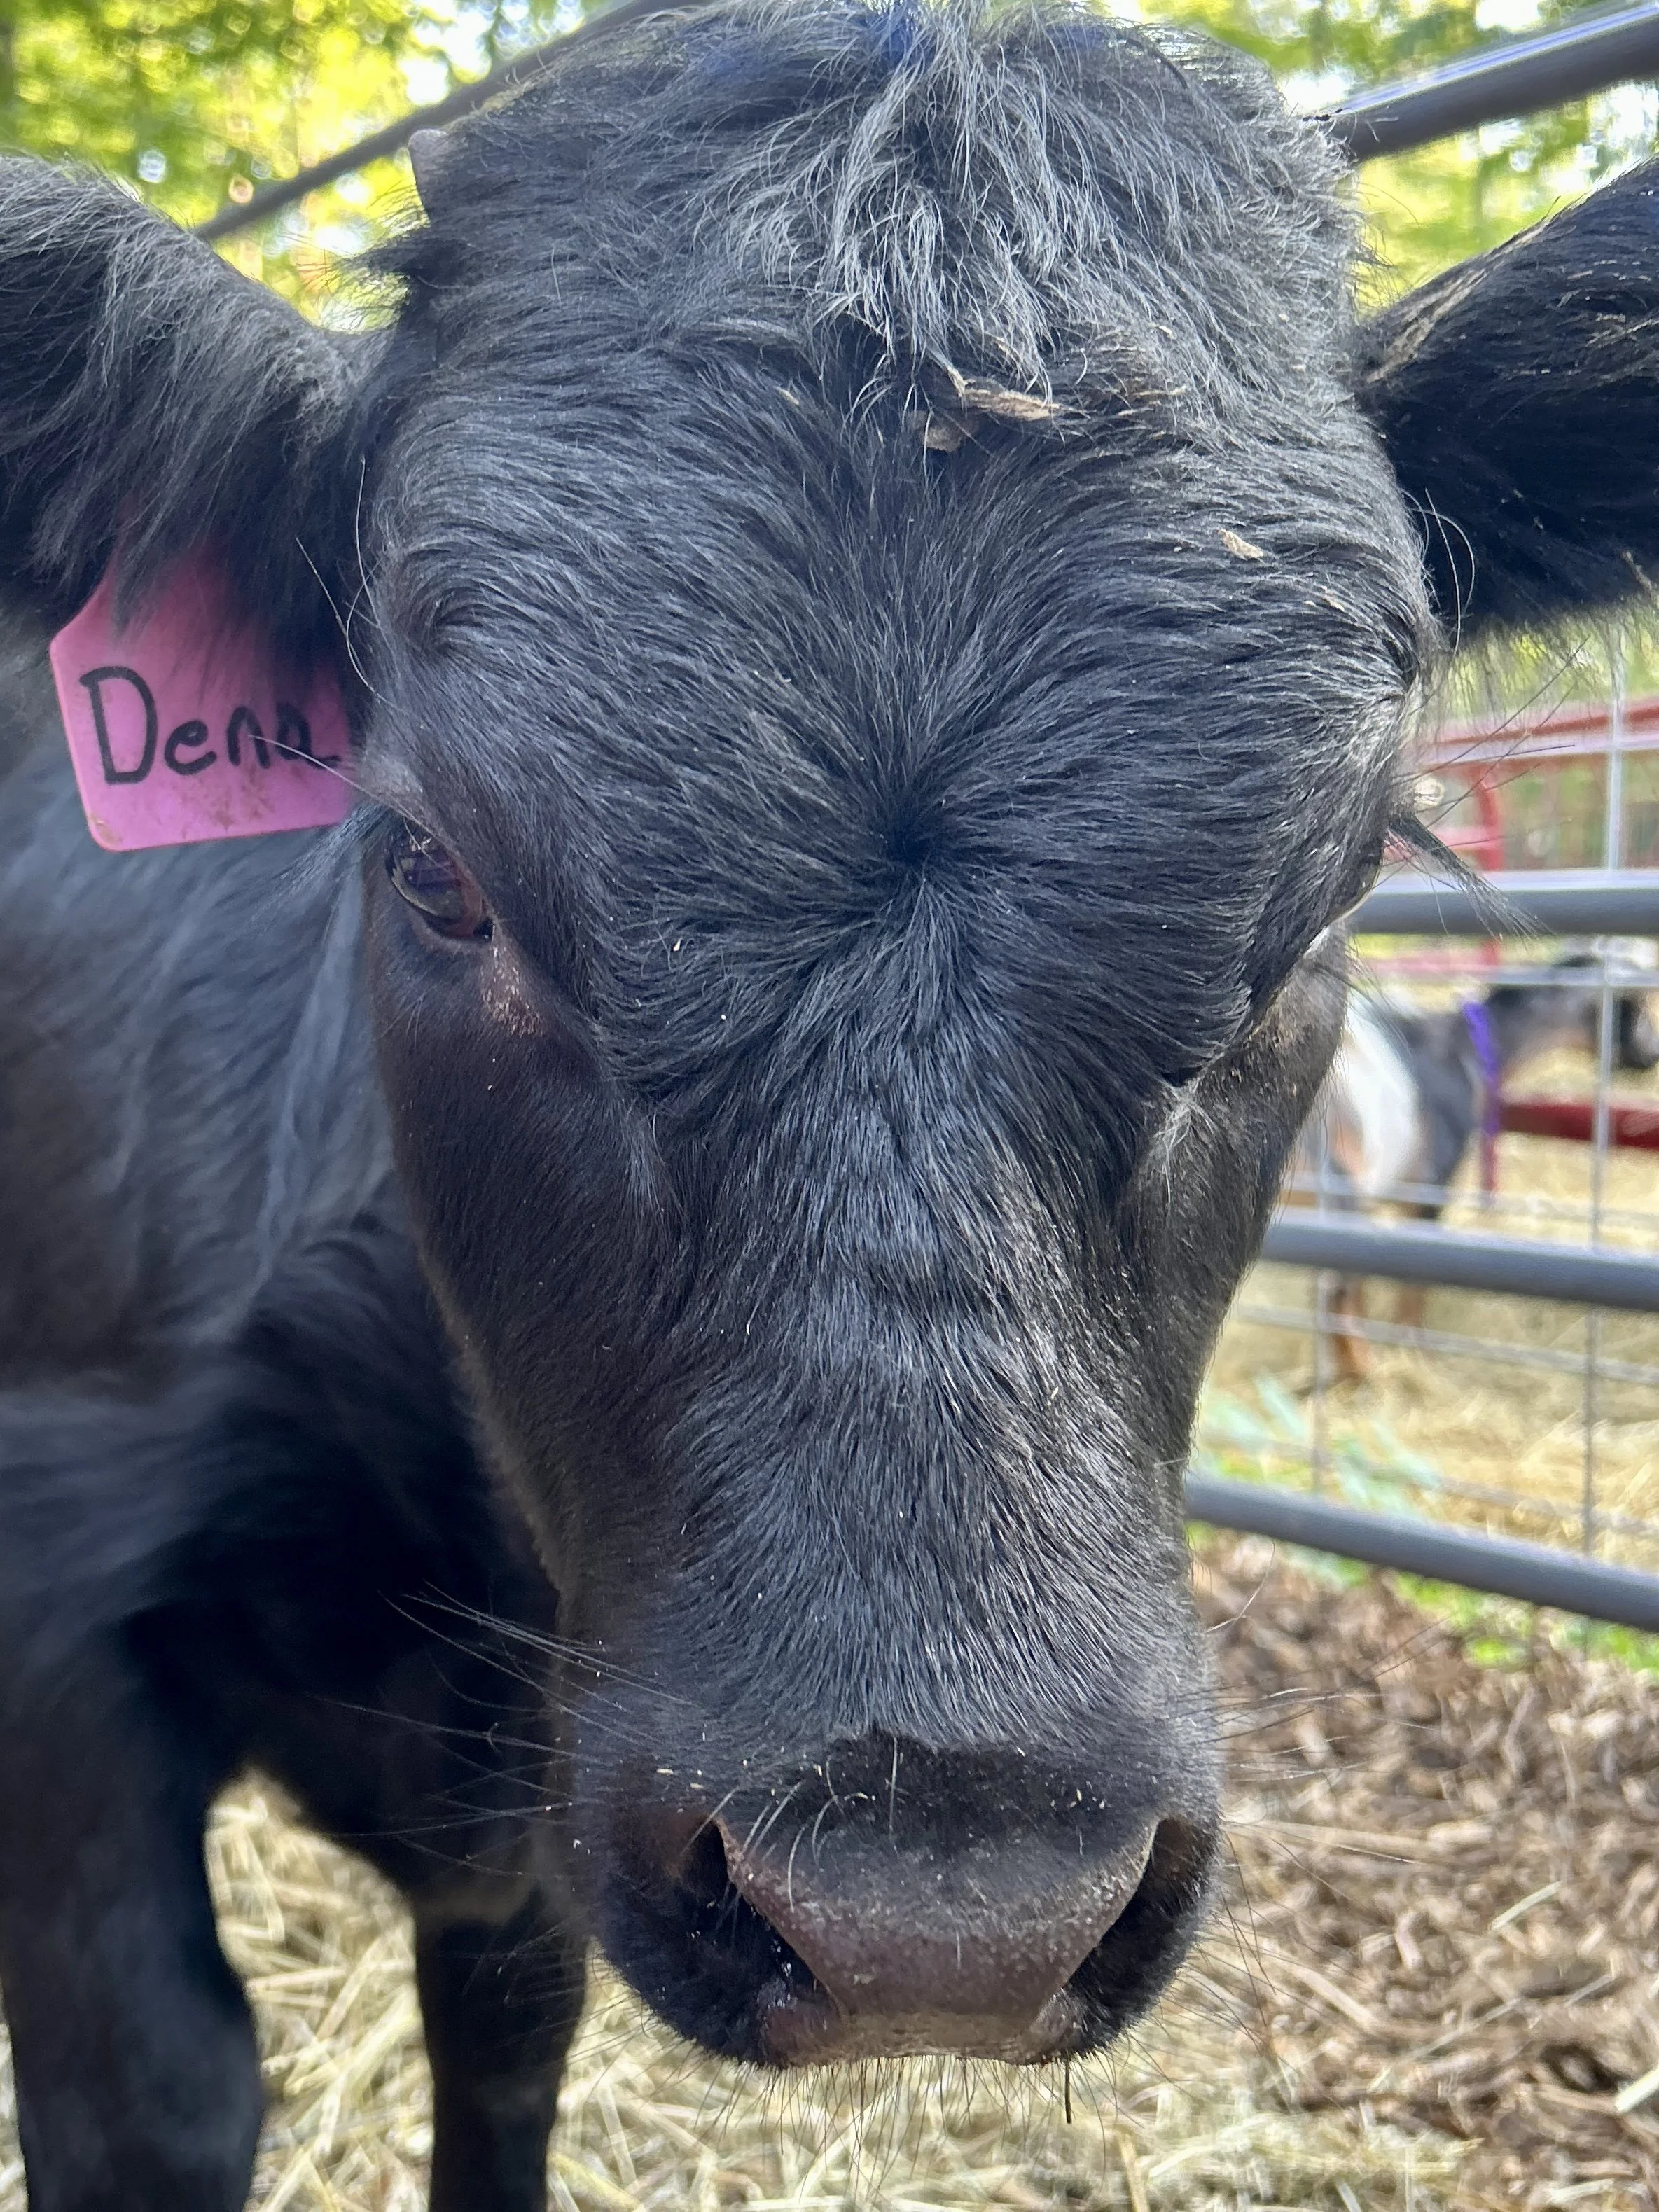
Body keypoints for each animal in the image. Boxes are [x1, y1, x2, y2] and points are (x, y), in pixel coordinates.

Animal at [3, 2, 1659, 2205]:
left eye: (1326, 906)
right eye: (437, 868)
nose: (936, 1922)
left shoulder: (539, 1825)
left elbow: (508, 2047)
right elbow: (166, 2093)